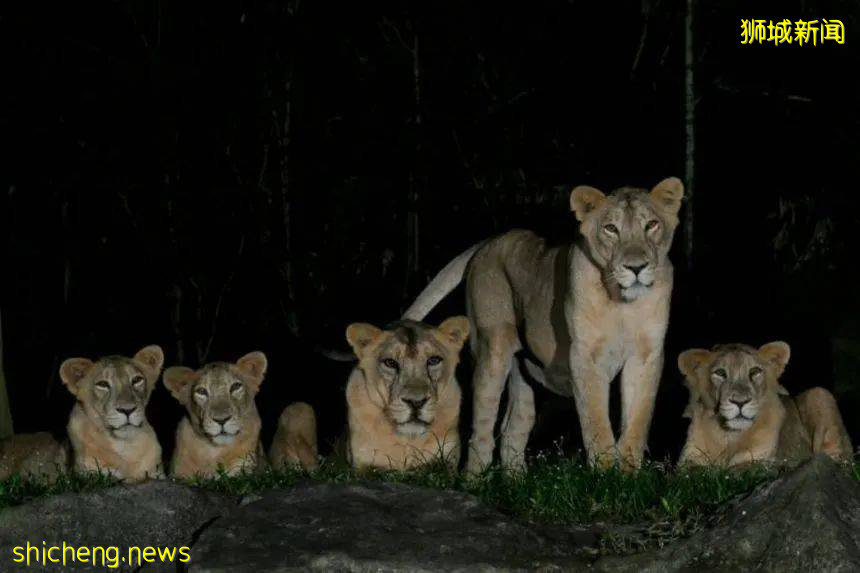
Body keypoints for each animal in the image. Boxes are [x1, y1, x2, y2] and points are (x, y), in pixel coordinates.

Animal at [344, 318, 470, 470]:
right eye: (390, 362)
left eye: (433, 360)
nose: (416, 402)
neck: (407, 442)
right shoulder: (362, 462)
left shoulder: (447, 459)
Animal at [680, 340, 852, 464]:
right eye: (720, 373)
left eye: (754, 371)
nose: (740, 402)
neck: (730, 437)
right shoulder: (687, 463)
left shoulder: (762, 463)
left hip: (819, 393)